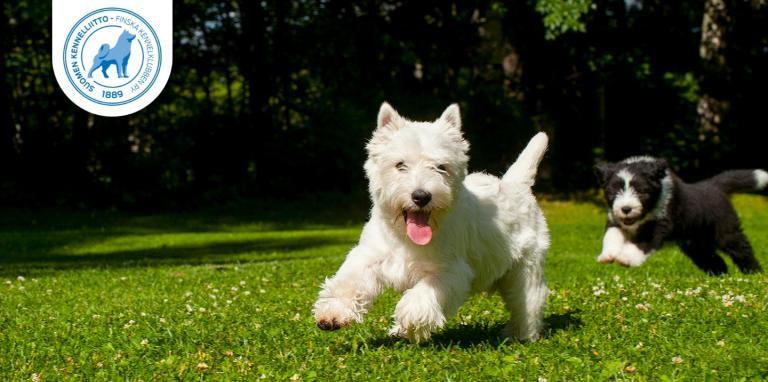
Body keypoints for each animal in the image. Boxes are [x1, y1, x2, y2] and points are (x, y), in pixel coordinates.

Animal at [308, 103, 548, 342]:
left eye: (441, 166)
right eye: (400, 165)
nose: (421, 196)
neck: (404, 237)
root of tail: (516, 184)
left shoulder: (449, 271)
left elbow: (421, 296)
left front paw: (410, 322)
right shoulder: (370, 256)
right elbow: (348, 282)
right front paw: (333, 313)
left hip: (526, 268)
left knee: (529, 301)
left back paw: (521, 334)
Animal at [596, 156, 764, 274]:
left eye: (641, 192)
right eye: (613, 192)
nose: (626, 208)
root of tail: (713, 186)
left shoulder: (661, 222)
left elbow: (642, 242)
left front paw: (625, 258)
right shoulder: (615, 219)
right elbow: (611, 234)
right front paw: (607, 255)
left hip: (725, 229)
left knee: (741, 249)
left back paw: (754, 275)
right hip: (695, 243)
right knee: (712, 259)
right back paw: (720, 277)